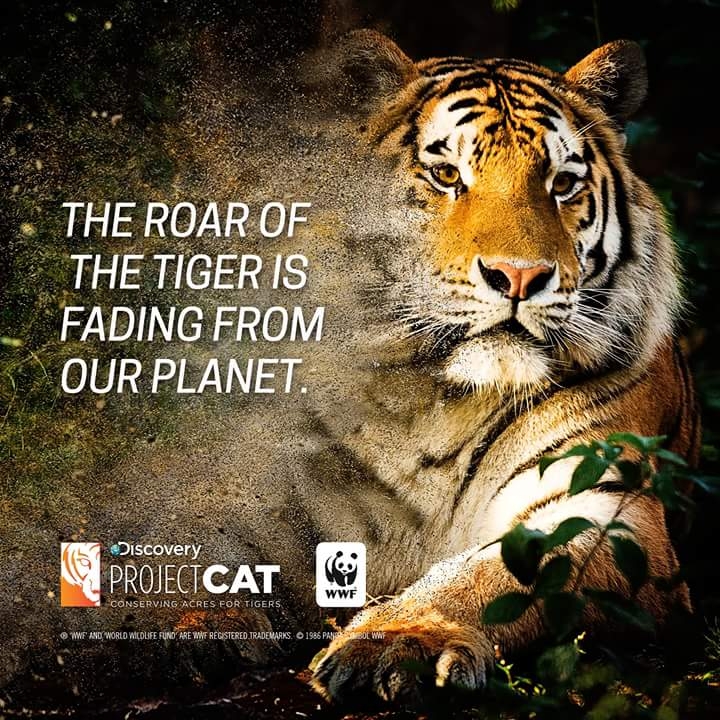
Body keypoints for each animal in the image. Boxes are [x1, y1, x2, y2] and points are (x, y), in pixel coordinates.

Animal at [309, 30, 700, 704]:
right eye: (446, 175)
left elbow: (492, 572)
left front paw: (397, 641)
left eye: (562, 184)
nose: (518, 276)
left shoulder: (608, 509)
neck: (437, 399)